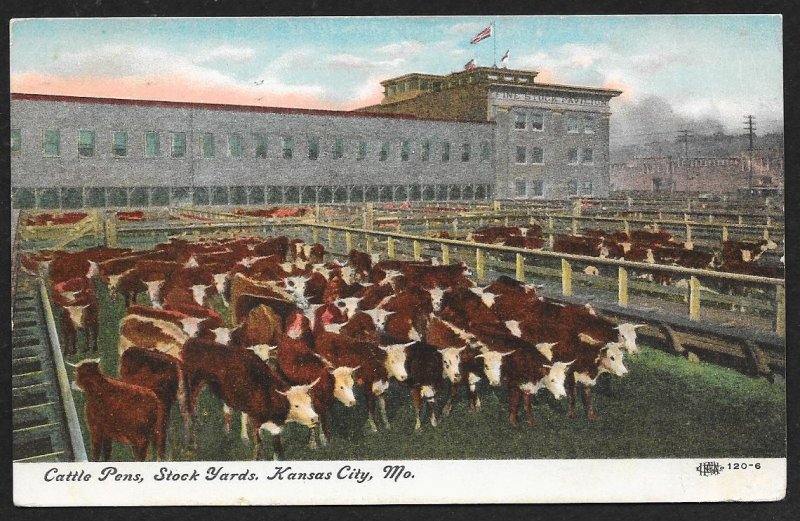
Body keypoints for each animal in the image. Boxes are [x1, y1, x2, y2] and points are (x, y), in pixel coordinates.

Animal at [181, 336, 318, 458]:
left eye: (310, 402)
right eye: (296, 405)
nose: (315, 418)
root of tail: (192, 341)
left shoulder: (275, 428)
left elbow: (278, 453)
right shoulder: (256, 422)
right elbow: (258, 448)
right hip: (193, 383)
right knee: (189, 409)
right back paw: (191, 443)